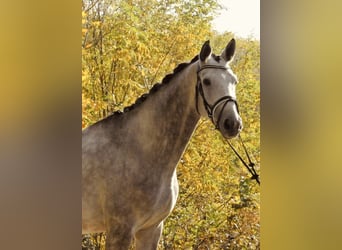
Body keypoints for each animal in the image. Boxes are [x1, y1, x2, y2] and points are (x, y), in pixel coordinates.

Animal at [82, 38, 243, 249]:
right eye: (207, 81)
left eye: (234, 81)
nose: (232, 124)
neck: (139, 151)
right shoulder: (120, 231)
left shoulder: (152, 229)